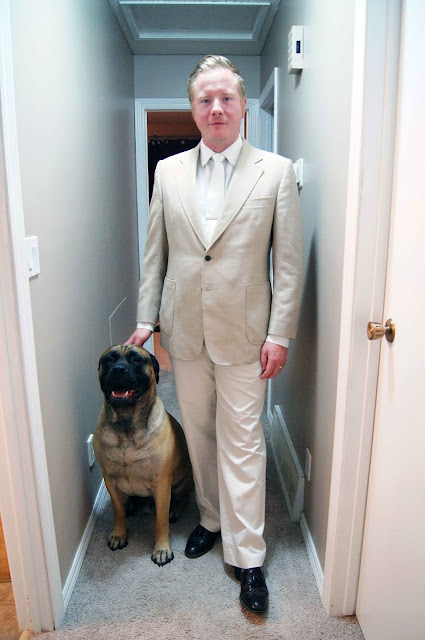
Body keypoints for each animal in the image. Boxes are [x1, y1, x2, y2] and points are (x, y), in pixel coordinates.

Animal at [94, 345, 193, 566]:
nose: (118, 369)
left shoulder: (162, 483)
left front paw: (162, 549)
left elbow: (160, 521)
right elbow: (117, 511)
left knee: (181, 498)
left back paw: (175, 509)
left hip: (184, 481)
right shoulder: (109, 479)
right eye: (109, 359)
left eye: (136, 360)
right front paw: (119, 535)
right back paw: (130, 503)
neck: (126, 423)